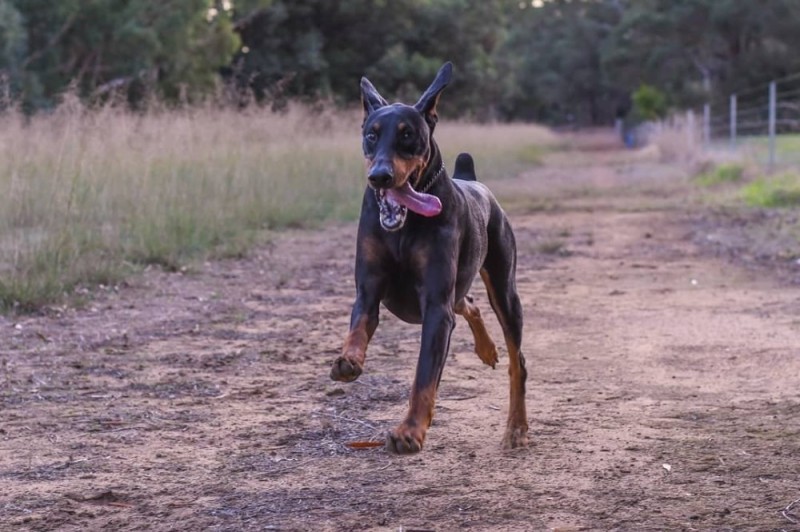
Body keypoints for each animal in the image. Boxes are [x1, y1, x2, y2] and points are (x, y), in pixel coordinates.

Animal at [328, 62, 528, 454]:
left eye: (408, 135)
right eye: (371, 135)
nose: (379, 176)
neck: (404, 227)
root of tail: (472, 179)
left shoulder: (436, 307)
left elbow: (424, 376)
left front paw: (410, 431)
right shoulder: (369, 289)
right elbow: (358, 326)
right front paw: (348, 361)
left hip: (503, 287)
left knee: (518, 362)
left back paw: (516, 426)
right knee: (467, 303)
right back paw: (486, 349)